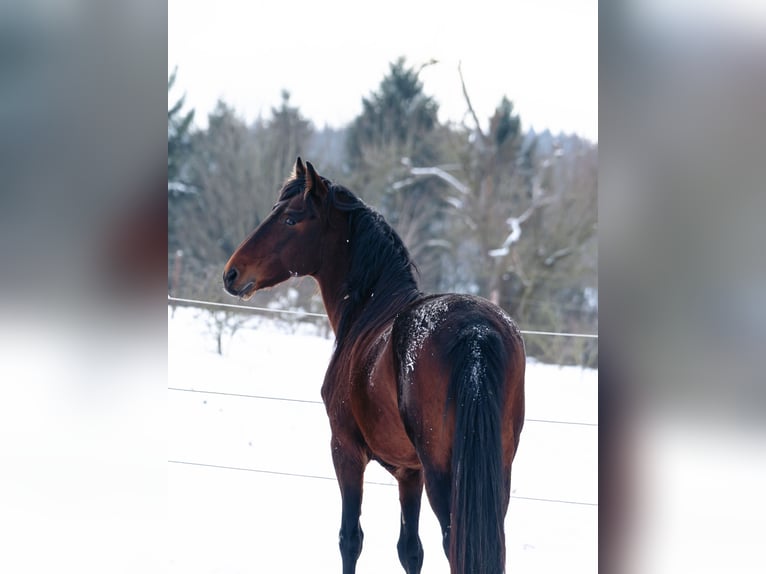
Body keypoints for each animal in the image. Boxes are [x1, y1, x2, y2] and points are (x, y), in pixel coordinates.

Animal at [223, 158, 525, 574]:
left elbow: (350, 539)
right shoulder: (410, 473)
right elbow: (410, 549)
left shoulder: (345, 451)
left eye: (290, 219)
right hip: (495, 473)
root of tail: (476, 330)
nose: (232, 273)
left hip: (445, 476)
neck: (370, 309)